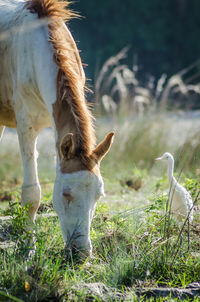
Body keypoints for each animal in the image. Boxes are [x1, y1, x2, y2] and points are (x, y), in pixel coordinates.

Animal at [0, 0, 114, 258]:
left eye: (98, 195)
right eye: (66, 194)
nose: (81, 252)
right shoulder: (25, 126)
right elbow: (31, 194)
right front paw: (28, 250)